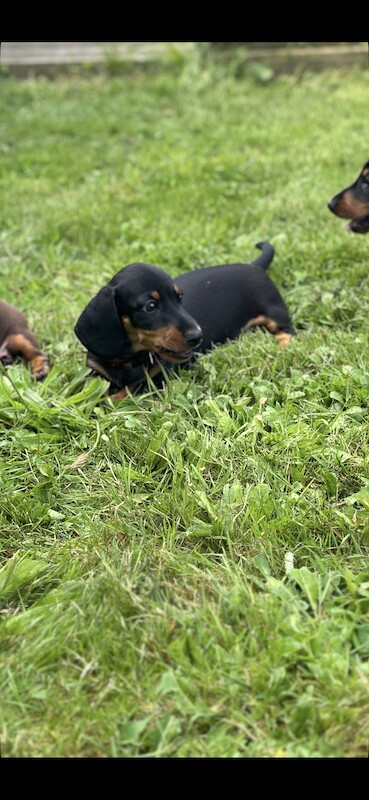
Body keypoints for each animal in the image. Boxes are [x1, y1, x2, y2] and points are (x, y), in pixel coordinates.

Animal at [74, 241, 294, 396]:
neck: (128, 360)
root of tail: (255, 266)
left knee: (288, 332)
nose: (197, 337)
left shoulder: (156, 380)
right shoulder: (94, 373)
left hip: (274, 312)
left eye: (179, 297)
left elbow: (121, 395)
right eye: (150, 306)